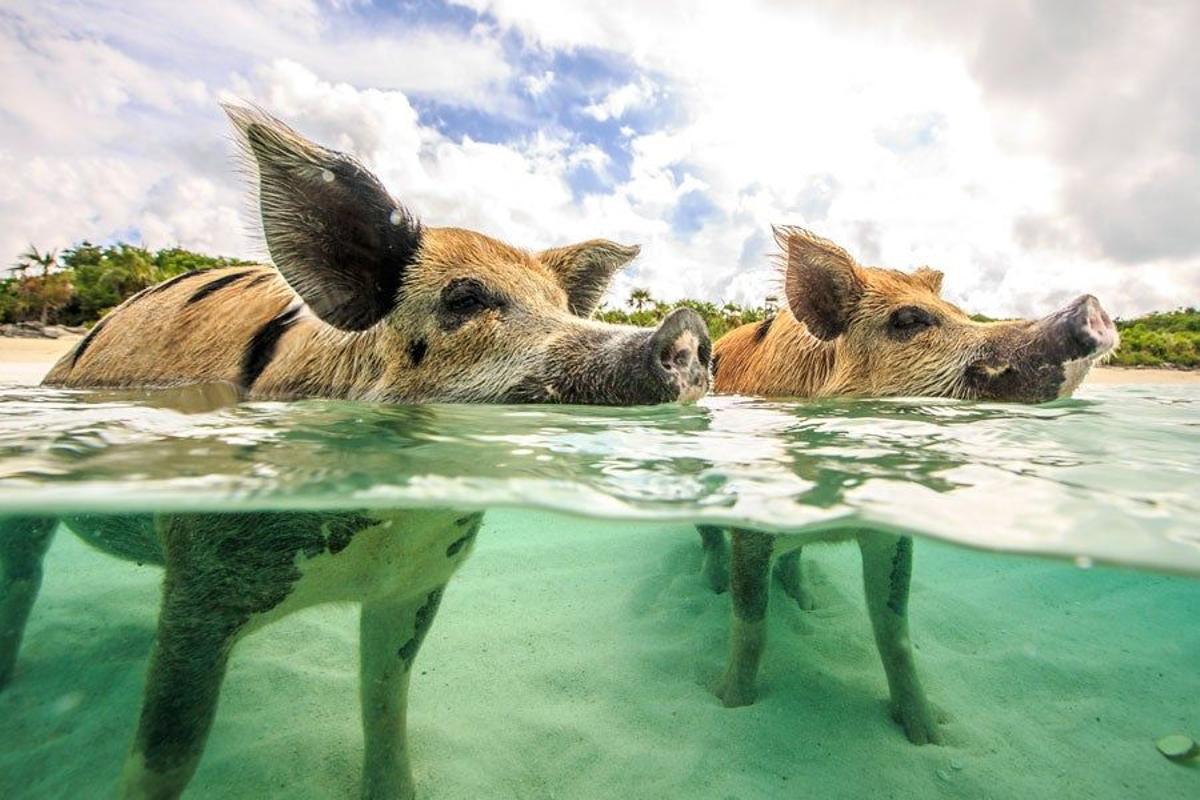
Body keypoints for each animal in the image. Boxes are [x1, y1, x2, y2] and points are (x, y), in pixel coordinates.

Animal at [0, 106, 710, 800]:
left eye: (562, 306)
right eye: (464, 299)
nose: (686, 330)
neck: (385, 537)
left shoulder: (415, 584)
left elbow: (386, 702)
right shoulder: (201, 583)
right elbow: (167, 754)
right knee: (23, 572)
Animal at [700, 225, 1118, 743]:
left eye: (959, 311)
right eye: (909, 319)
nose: (1090, 305)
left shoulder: (891, 530)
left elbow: (894, 631)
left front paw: (931, 735)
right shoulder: (752, 523)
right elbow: (751, 621)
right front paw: (729, 703)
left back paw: (810, 604)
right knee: (711, 541)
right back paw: (713, 587)